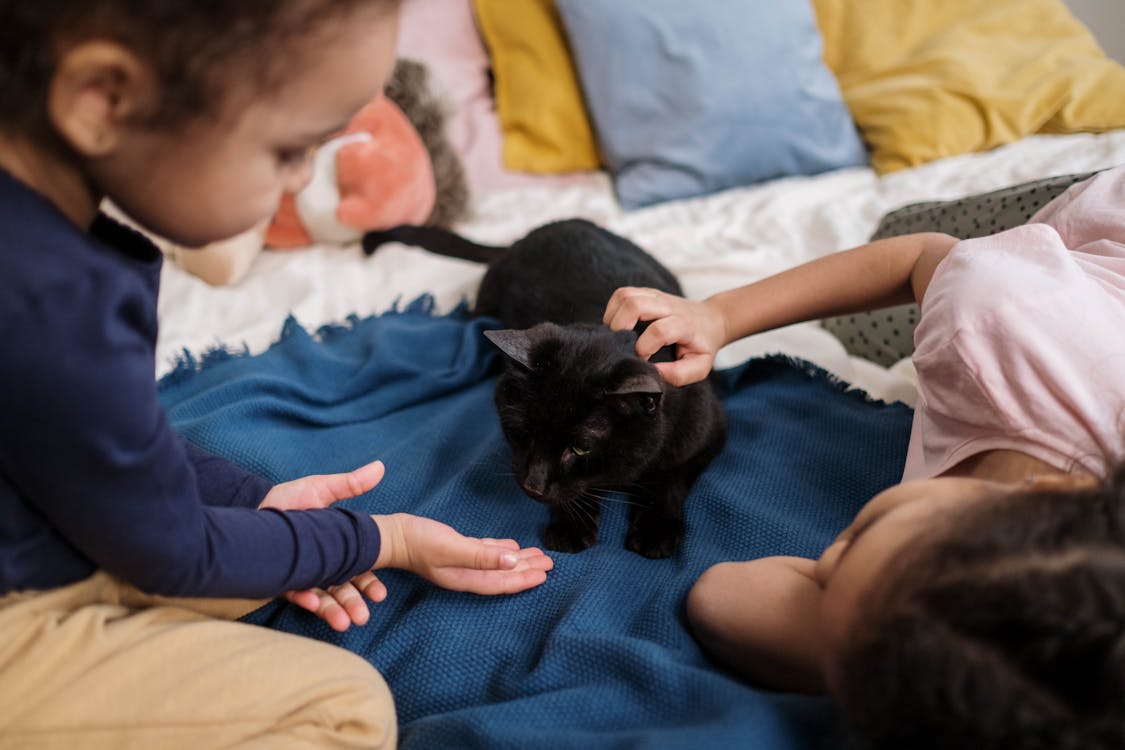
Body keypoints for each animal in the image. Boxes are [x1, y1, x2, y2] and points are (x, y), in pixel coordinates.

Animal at [364, 217, 724, 557]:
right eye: (521, 432)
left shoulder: (707, 432)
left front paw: (655, 531)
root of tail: (528, 235)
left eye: (581, 449)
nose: (533, 486)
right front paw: (571, 527)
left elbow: (671, 479)